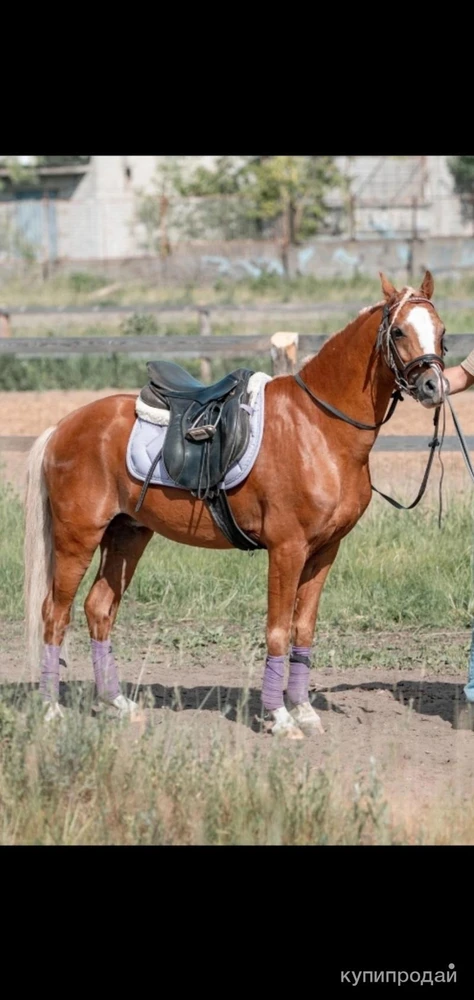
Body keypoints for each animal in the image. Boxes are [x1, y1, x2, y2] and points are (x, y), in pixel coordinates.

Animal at [24, 270, 448, 740]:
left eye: (442, 332)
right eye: (398, 331)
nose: (434, 387)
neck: (318, 428)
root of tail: (64, 426)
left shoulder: (324, 552)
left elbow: (303, 630)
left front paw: (303, 710)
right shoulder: (287, 550)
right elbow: (278, 631)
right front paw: (280, 718)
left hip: (127, 536)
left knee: (98, 609)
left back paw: (117, 704)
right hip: (76, 538)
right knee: (54, 614)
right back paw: (51, 710)